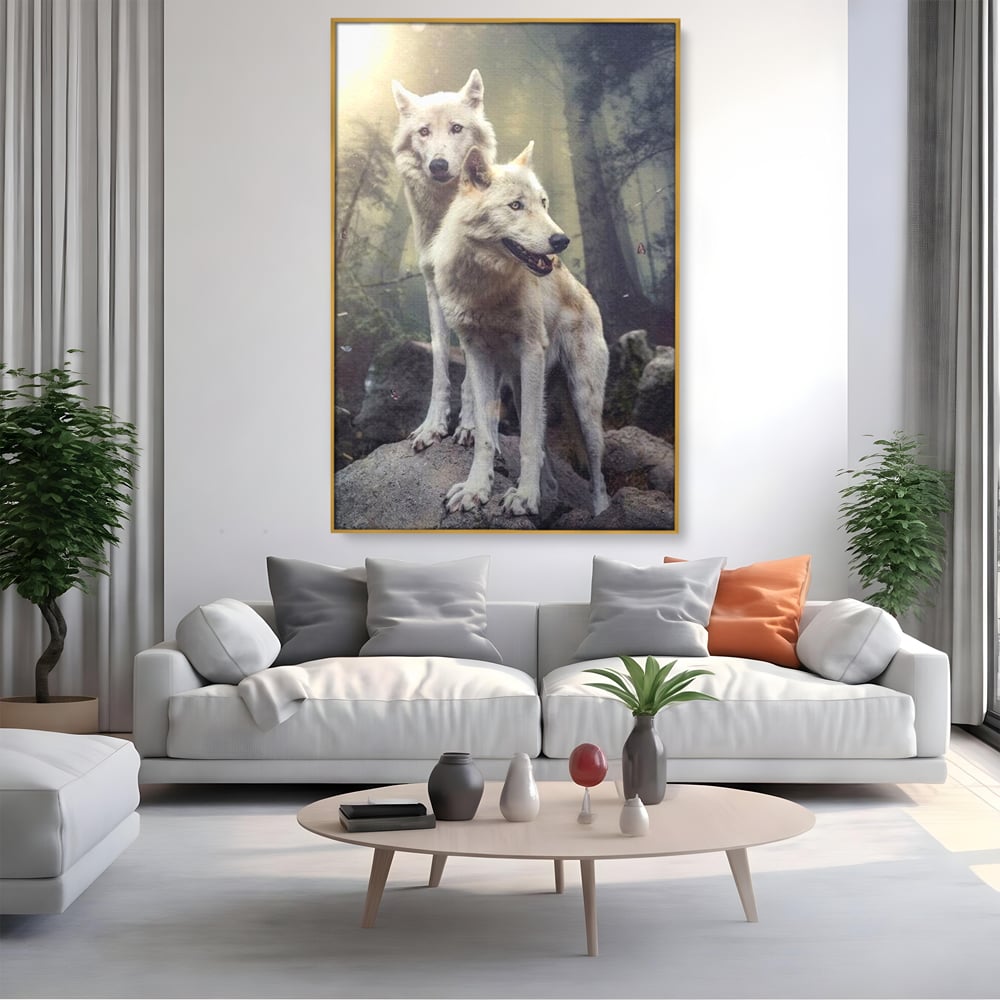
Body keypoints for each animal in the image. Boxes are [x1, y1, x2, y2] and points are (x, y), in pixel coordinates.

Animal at [391, 69, 497, 451]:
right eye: (424, 131)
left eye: (456, 128)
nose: (438, 165)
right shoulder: (434, 291)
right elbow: (439, 365)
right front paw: (432, 426)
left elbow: (472, 374)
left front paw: (470, 426)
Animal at [430, 142, 610, 518]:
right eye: (516, 206)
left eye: (543, 203)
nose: (561, 240)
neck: (486, 287)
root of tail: (587, 295)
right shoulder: (477, 356)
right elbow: (486, 434)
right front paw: (476, 489)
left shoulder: (531, 353)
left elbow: (527, 438)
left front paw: (525, 497)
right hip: (520, 384)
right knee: (545, 450)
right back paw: (550, 491)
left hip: (583, 403)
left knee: (597, 469)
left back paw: (603, 512)